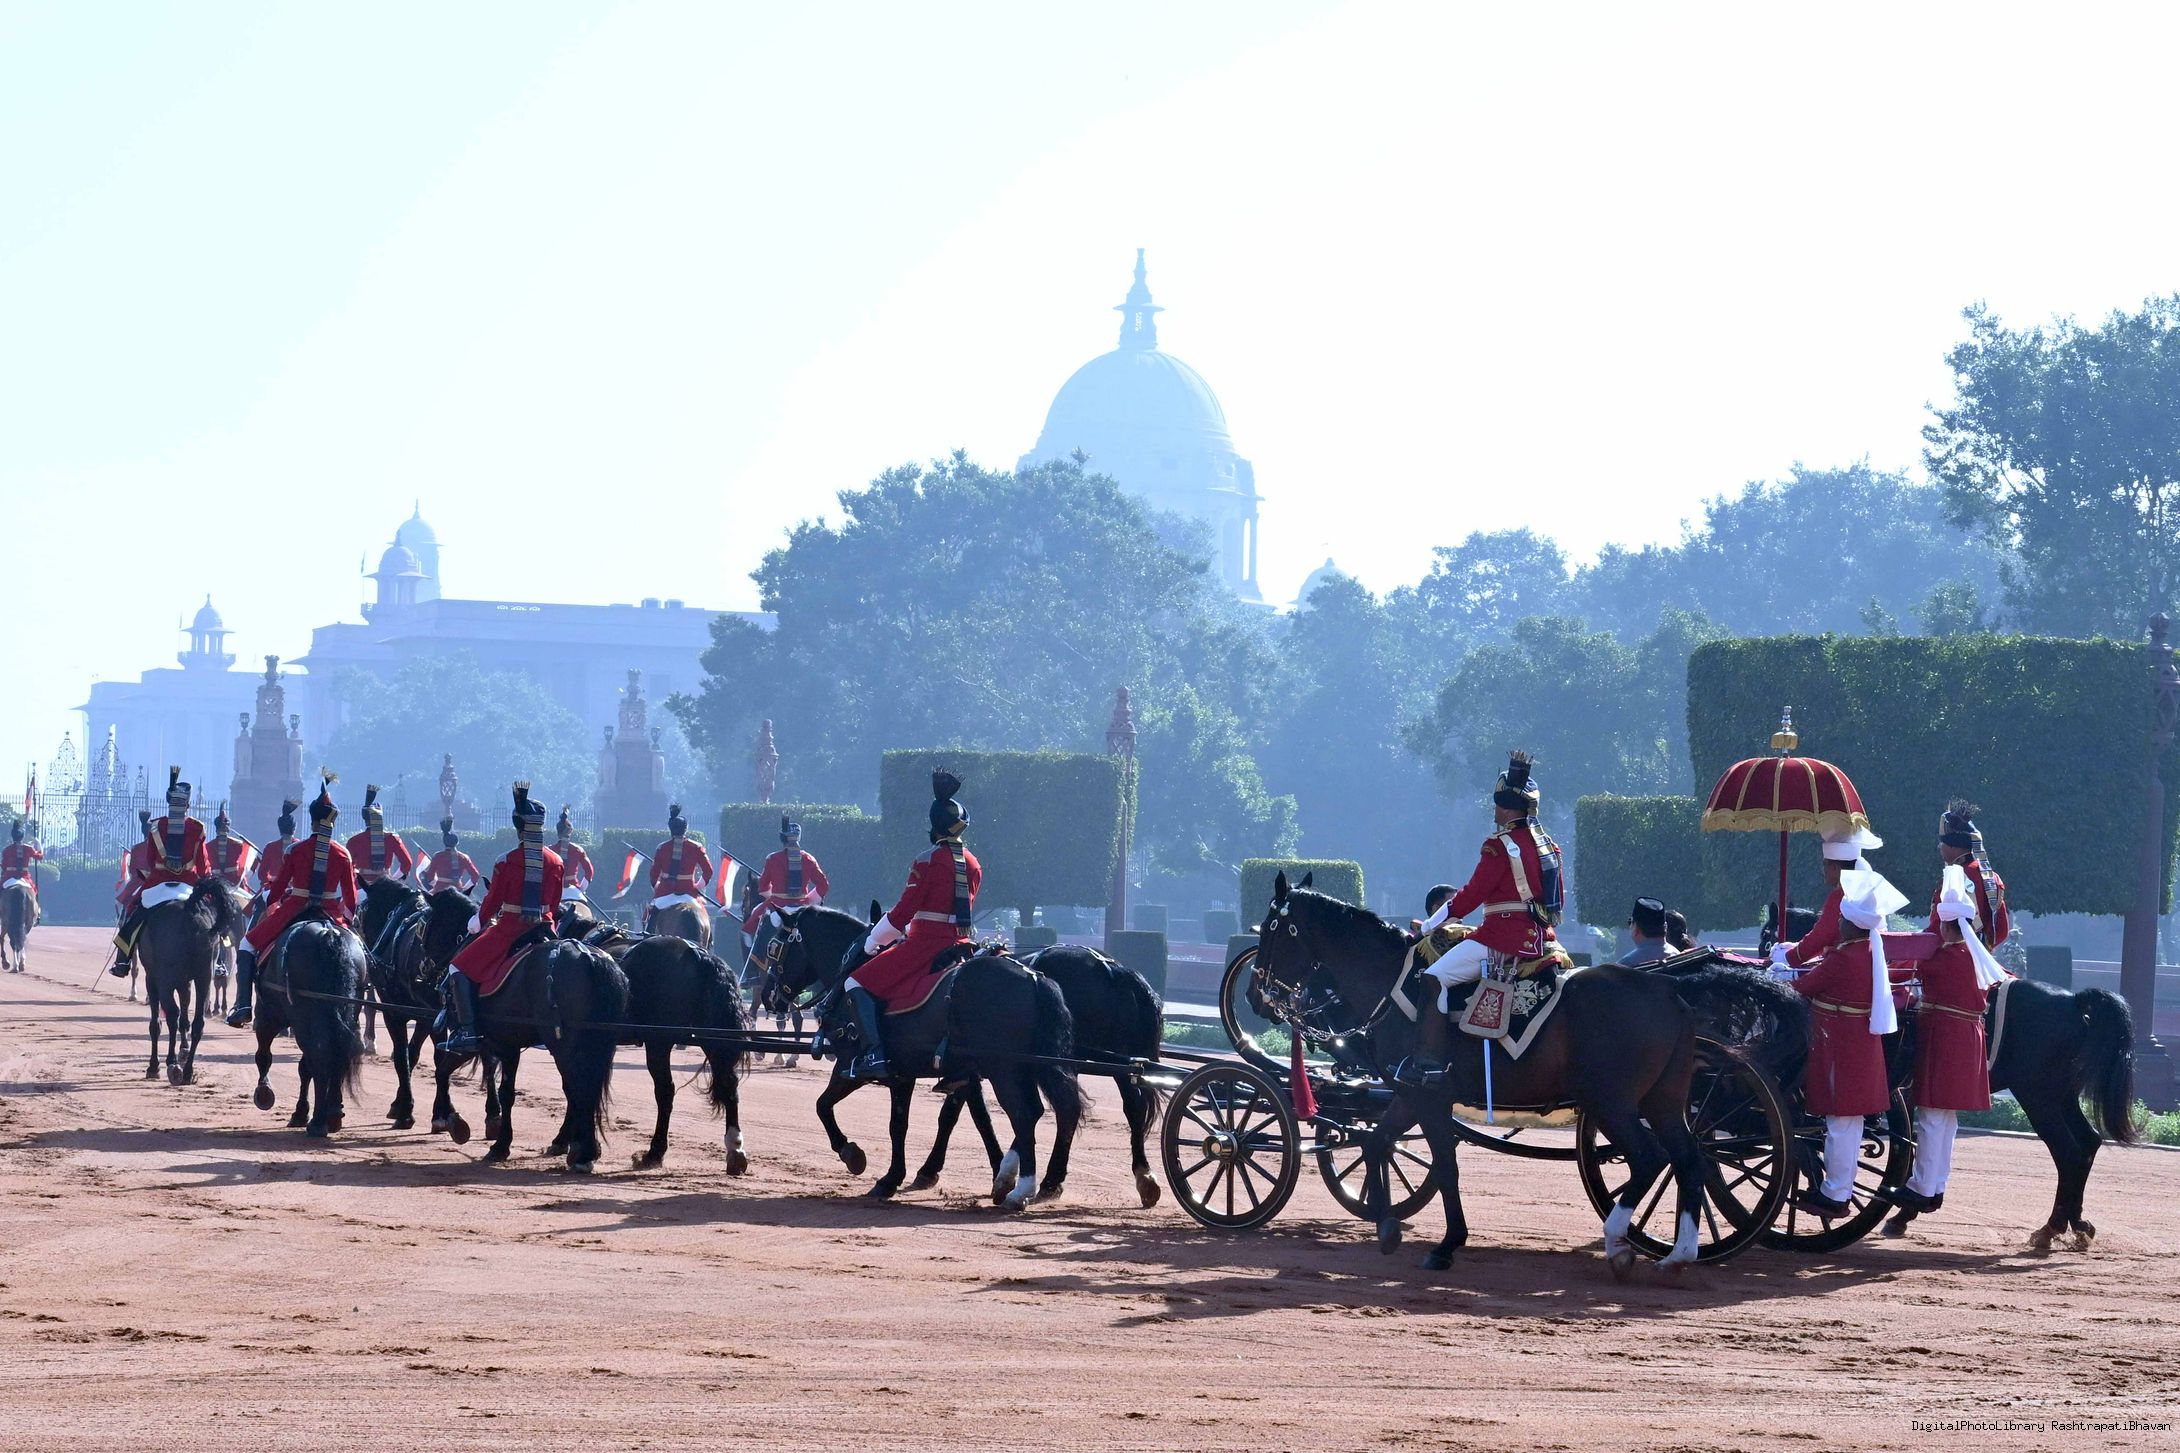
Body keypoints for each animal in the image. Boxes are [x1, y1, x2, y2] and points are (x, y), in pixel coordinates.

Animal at [135, 880, 235, 1086]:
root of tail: (190, 911)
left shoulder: (153, 979)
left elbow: (157, 1023)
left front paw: (154, 1066)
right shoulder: (185, 983)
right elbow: (185, 1020)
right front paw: (183, 1051)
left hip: (164, 980)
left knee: (172, 1015)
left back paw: (172, 1064)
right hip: (204, 977)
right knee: (197, 1023)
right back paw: (188, 1071)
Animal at [246, 917, 369, 1137]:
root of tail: (328, 933)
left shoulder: (266, 1017)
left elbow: (264, 1055)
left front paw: (265, 1092)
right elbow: (304, 1067)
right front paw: (302, 1111)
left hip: (303, 1016)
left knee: (320, 1055)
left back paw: (318, 1122)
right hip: (347, 1011)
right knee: (337, 1053)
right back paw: (334, 1114)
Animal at [417, 902, 628, 1172]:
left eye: (423, 927)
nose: (423, 969)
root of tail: (588, 955)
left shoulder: (484, 1043)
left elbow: (452, 1074)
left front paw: (466, 1128)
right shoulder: (501, 1045)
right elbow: (482, 1082)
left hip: (565, 1047)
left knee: (579, 1088)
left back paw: (581, 1151)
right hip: (596, 1044)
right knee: (584, 1089)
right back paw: (583, 1148)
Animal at [762, 902, 1080, 1210]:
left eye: (774, 948)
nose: (768, 996)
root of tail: (1034, 977)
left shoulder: (854, 1068)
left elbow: (829, 1107)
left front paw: (859, 1159)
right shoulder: (935, 1075)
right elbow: (971, 1119)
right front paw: (995, 1173)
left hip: (1005, 1068)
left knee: (1025, 1114)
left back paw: (1023, 1189)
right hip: (1026, 1067)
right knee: (1051, 1110)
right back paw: (1030, 1181)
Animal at [1257, 872, 1724, 1275]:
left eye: (1269, 929)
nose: (1256, 997)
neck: (1394, 982)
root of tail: (1668, 992)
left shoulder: (1430, 1097)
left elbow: (1445, 1166)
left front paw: (1447, 1244)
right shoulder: (1410, 1092)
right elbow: (1376, 1143)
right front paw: (1386, 1225)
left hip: (1611, 1103)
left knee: (1649, 1158)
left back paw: (1618, 1240)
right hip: (1663, 1102)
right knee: (1690, 1158)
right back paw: (1680, 1253)